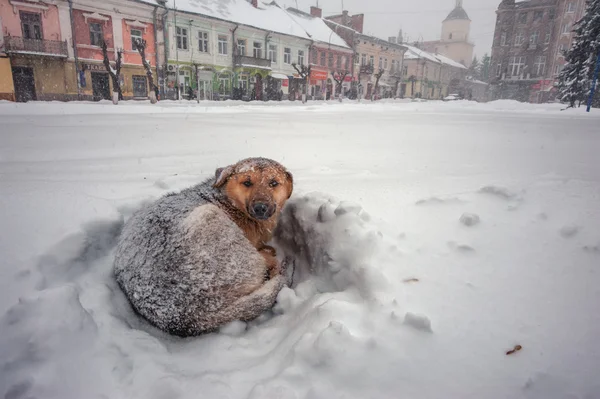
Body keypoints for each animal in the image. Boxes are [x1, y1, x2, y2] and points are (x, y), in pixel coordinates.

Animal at [113, 158, 294, 336]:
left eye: (273, 183)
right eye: (247, 182)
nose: (260, 208)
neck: (229, 203)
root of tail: (189, 317)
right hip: (211, 221)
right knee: (267, 266)